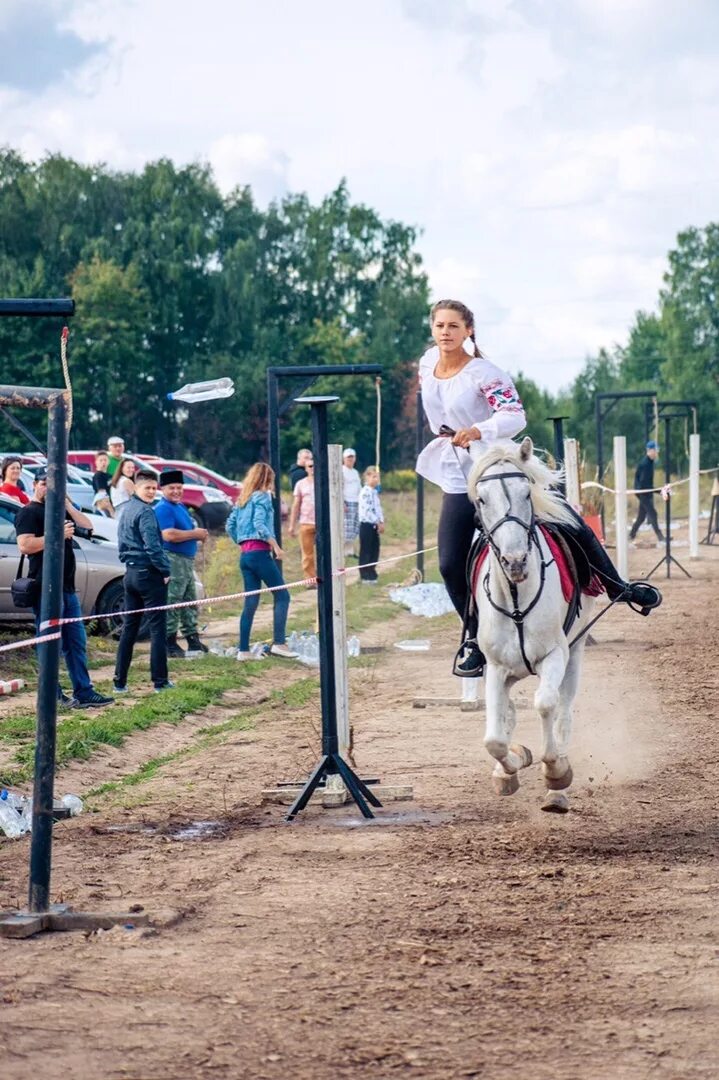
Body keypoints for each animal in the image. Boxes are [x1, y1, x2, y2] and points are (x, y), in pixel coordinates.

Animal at [464, 434, 591, 812]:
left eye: (525, 492)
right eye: (482, 498)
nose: (516, 562)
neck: (517, 599)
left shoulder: (554, 655)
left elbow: (545, 704)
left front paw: (555, 771)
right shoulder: (495, 667)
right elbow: (494, 738)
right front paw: (510, 769)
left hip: (576, 650)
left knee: (563, 711)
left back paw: (557, 789)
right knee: (507, 715)